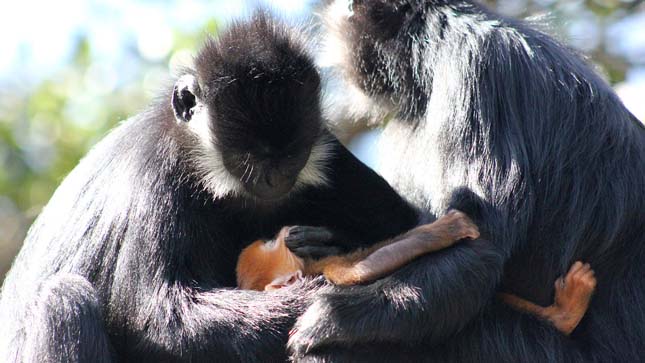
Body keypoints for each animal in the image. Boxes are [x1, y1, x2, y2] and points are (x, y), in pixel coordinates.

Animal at [0, 12, 422, 362]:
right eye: (247, 156)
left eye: (292, 156)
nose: (274, 178)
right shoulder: (155, 172)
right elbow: (158, 321)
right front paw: (311, 298)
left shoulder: (327, 148)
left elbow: (408, 224)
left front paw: (327, 248)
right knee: (61, 298)